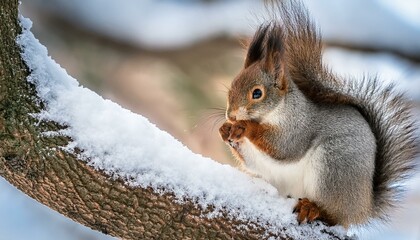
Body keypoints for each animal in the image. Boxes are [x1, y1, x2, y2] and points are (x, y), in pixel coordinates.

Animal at [218, 0, 418, 229]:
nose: (231, 115)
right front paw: (225, 130)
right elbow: (253, 161)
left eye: (257, 93)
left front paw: (246, 127)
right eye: (231, 88)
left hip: (333, 167)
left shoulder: (298, 127)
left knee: (335, 216)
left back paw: (314, 209)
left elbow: (282, 147)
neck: (274, 112)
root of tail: (364, 208)